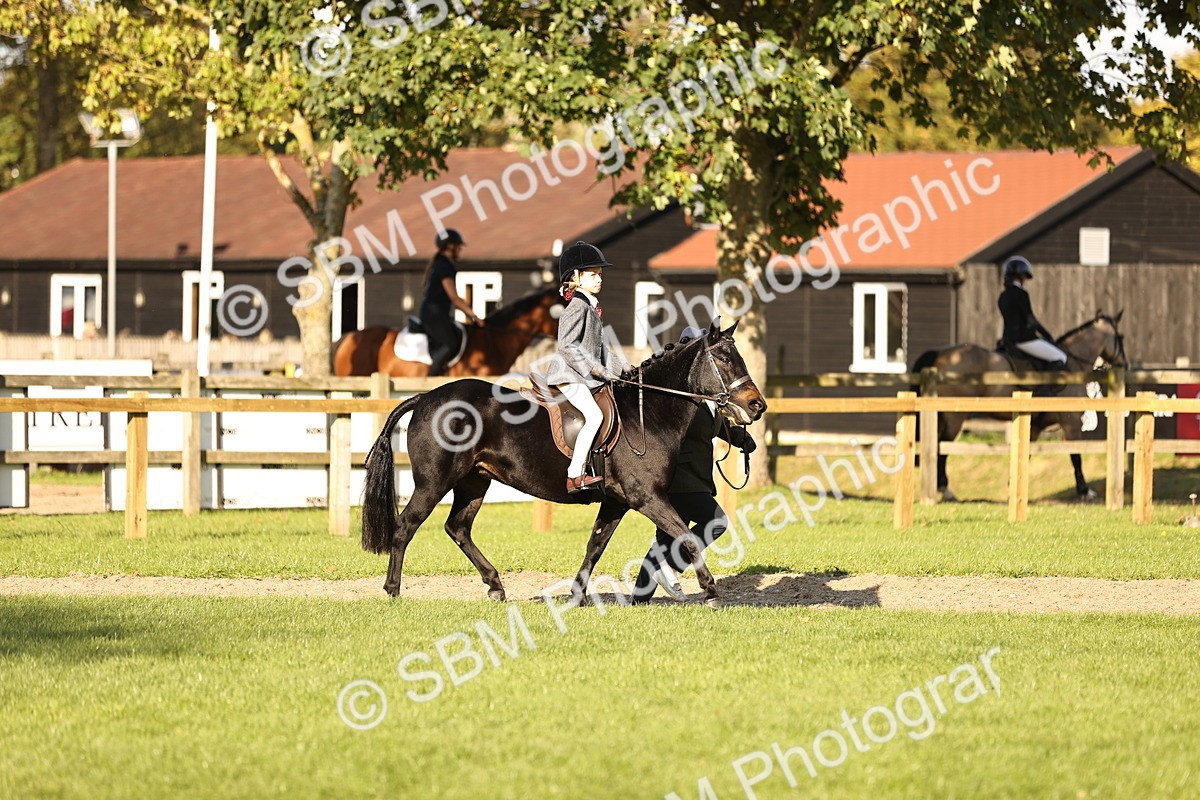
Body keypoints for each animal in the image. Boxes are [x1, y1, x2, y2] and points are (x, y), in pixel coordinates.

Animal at [360, 320, 767, 606]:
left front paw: (577, 594)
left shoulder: (617, 501)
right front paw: (711, 592)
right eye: (725, 359)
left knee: (457, 528)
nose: (757, 405)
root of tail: (427, 397)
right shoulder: (646, 498)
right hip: (434, 482)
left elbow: (595, 545)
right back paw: (393, 589)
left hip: (474, 482)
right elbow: (687, 537)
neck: (647, 412)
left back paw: (495, 585)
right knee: (405, 526)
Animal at [911, 310, 1127, 502]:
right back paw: (945, 489)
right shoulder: (1071, 422)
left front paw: (1013, 487)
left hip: (941, 415)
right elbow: (1076, 455)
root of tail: (941, 353)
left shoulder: (1034, 426)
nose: (1125, 364)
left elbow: (1025, 452)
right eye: (1121, 337)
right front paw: (1084, 490)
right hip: (954, 417)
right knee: (942, 446)